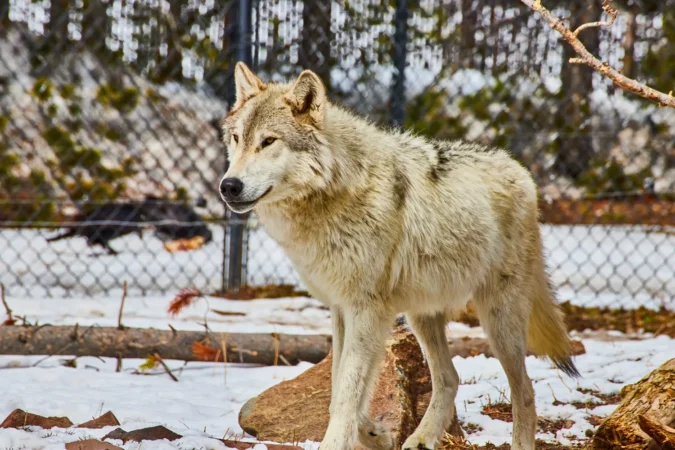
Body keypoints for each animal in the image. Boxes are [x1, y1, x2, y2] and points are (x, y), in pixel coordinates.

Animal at [218, 62, 580, 450]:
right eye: (237, 139)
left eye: (268, 141)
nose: (229, 186)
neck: (336, 191)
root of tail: (523, 172)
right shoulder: (342, 309)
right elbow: (338, 389)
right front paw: (374, 434)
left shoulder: (366, 310)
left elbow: (346, 392)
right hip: (422, 315)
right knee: (450, 377)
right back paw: (421, 438)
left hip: (499, 321)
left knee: (524, 391)